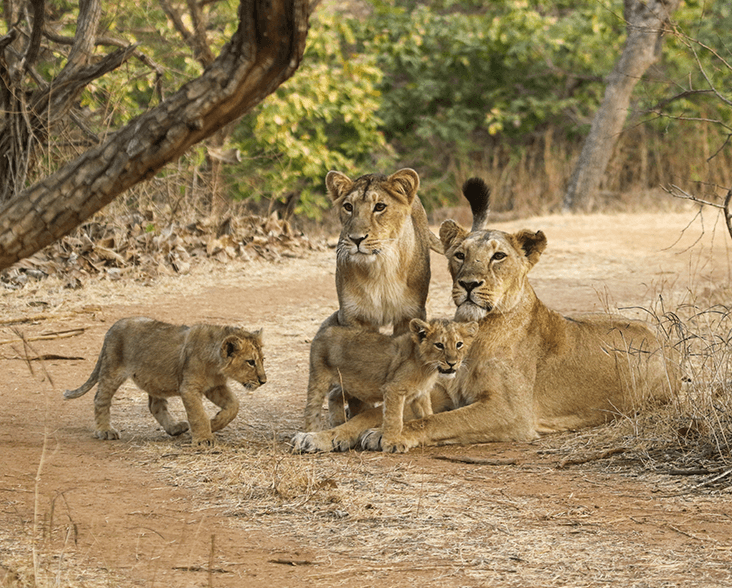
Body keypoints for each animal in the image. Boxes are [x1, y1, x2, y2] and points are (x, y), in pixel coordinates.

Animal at [64, 317, 266, 446]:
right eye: (250, 362)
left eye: (263, 359)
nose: (263, 381)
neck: (216, 365)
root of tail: (114, 326)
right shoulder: (189, 388)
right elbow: (198, 414)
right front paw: (204, 439)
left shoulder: (215, 386)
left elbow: (234, 406)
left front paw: (214, 423)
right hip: (112, 371)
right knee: (100, 399)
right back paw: (105, 431)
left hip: (153, 379)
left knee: (155, 406)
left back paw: (175, 428)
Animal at [293, 318, 478, 453]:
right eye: (439, 345)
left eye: (459, 344)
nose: (452, 363)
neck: (427, 368)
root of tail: (326, 328)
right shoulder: (394, 389)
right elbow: (394, 419)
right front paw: (391, 444)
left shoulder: (421, 394)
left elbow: (426, 416)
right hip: (319, 376)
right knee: (311, 408)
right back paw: (311, 431)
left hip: (348, 383)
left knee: (334, 394)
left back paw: (338, 421)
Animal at [356, 177, 681, 452]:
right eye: (460, 255)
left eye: (498, 256)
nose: (468, 284)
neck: (479, 330)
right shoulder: (449, 391)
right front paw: (377, 429)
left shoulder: (511, 412)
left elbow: (436, 420)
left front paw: (392, 435)